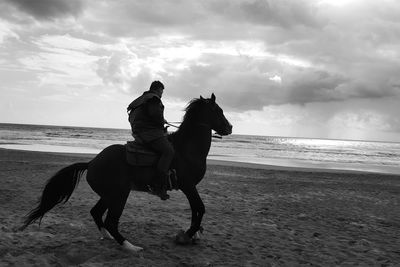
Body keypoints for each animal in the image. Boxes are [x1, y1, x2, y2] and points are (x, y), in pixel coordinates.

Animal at [21, 93, 233, 253]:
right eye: (218, 110)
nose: (230, 127)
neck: (186, 149)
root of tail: (92, 162)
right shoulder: (188, 186)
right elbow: (200, 208)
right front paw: (188, 234)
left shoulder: (190, 187)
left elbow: (197, 210)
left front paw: (194, 233)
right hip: (119, 195)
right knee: (111, 221)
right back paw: (130, 247)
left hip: (110, 195)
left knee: (96, 213)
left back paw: (107, 236)